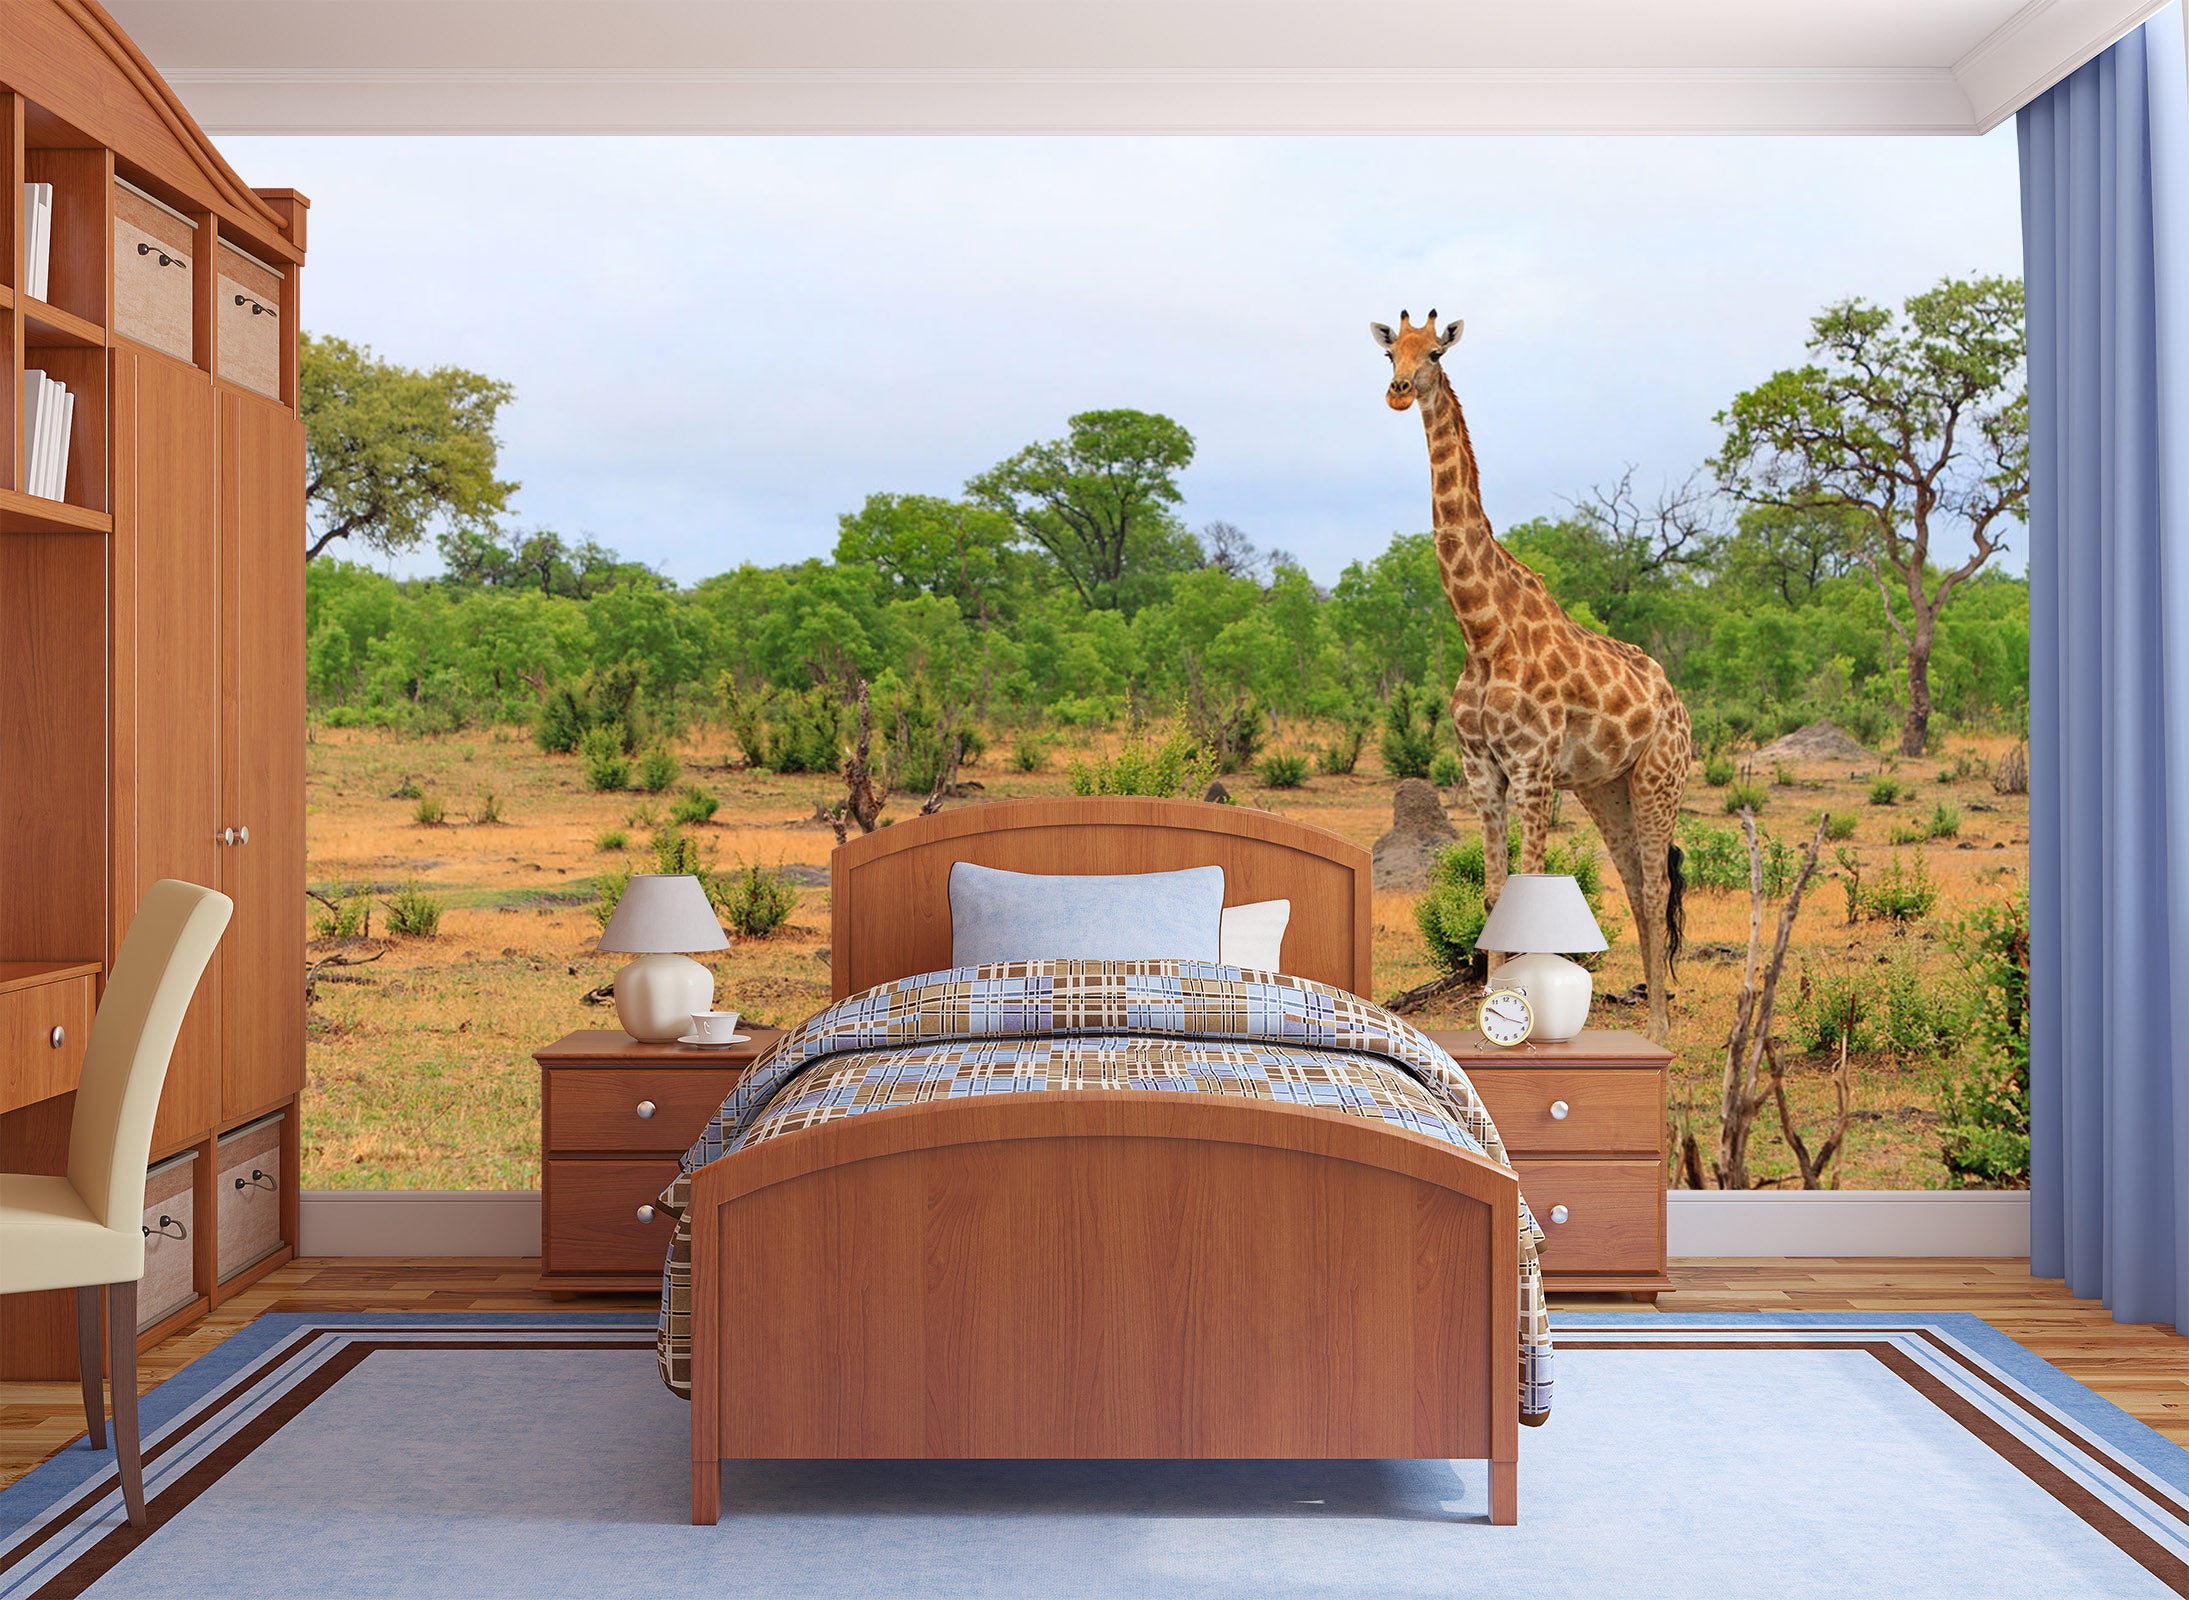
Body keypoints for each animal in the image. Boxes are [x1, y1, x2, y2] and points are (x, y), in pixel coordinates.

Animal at [1371, 309, 1690, 1042]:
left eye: (1434, 353)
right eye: (1388, 353)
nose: (1398, 393)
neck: (1481, 631)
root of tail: (1676, 701)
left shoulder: (1534, 769)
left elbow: (1530, 888)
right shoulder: (1482, 771)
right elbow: (1494, 893)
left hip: (1659, 776)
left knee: (1658, 883)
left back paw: (1660, 1031)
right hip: (1607, 788)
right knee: (1637, 885)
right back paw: (1648, 1022)